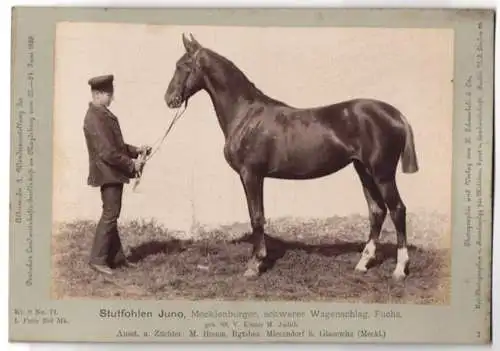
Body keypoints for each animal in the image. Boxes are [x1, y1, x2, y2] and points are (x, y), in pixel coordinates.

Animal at [164, 34, 418, 282]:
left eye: (182, 66)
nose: (169, 99)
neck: (246, 114)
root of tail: (396, 115)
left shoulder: (251, 174)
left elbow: (256, 217)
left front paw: (255, 265)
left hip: (382, 174)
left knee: (397, 210)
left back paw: (399, 269)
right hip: (364, 171)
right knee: (377, 210)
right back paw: (363, 264)